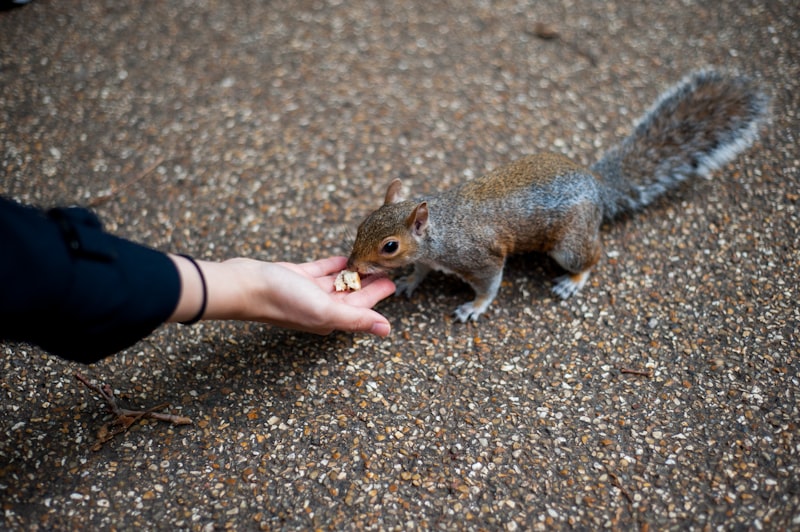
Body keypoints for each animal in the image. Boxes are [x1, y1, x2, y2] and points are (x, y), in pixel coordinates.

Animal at [346, 69, 772, 322]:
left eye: (389, 246)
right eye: (361, 225)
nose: (352, 266)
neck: (439, 232)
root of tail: (597, 184)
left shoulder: (482, 257)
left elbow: (489, 285)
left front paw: (474, 307)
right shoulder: (431, 257)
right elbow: (421, 269)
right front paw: (409, 282)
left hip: (569, 243)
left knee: (592, 257)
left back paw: (573, 281)